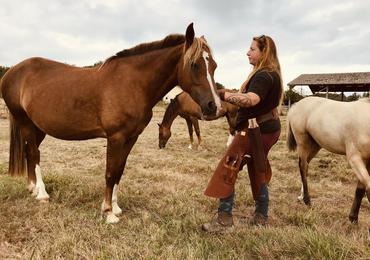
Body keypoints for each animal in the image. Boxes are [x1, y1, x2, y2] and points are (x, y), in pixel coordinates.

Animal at [0, 23, 221, 223]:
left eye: (214, 66)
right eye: (194, 65)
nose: (214, 106)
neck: (133, 83)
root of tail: (12, 72)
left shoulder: (131, 137)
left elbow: (119, 171)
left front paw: (115, 207)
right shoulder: (115, 137)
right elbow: (110, 172)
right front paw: (108, 213)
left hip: (39, 127)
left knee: (29, 152)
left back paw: (32, 188)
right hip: (25, 123)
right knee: (33, 154)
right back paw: (42, 194)